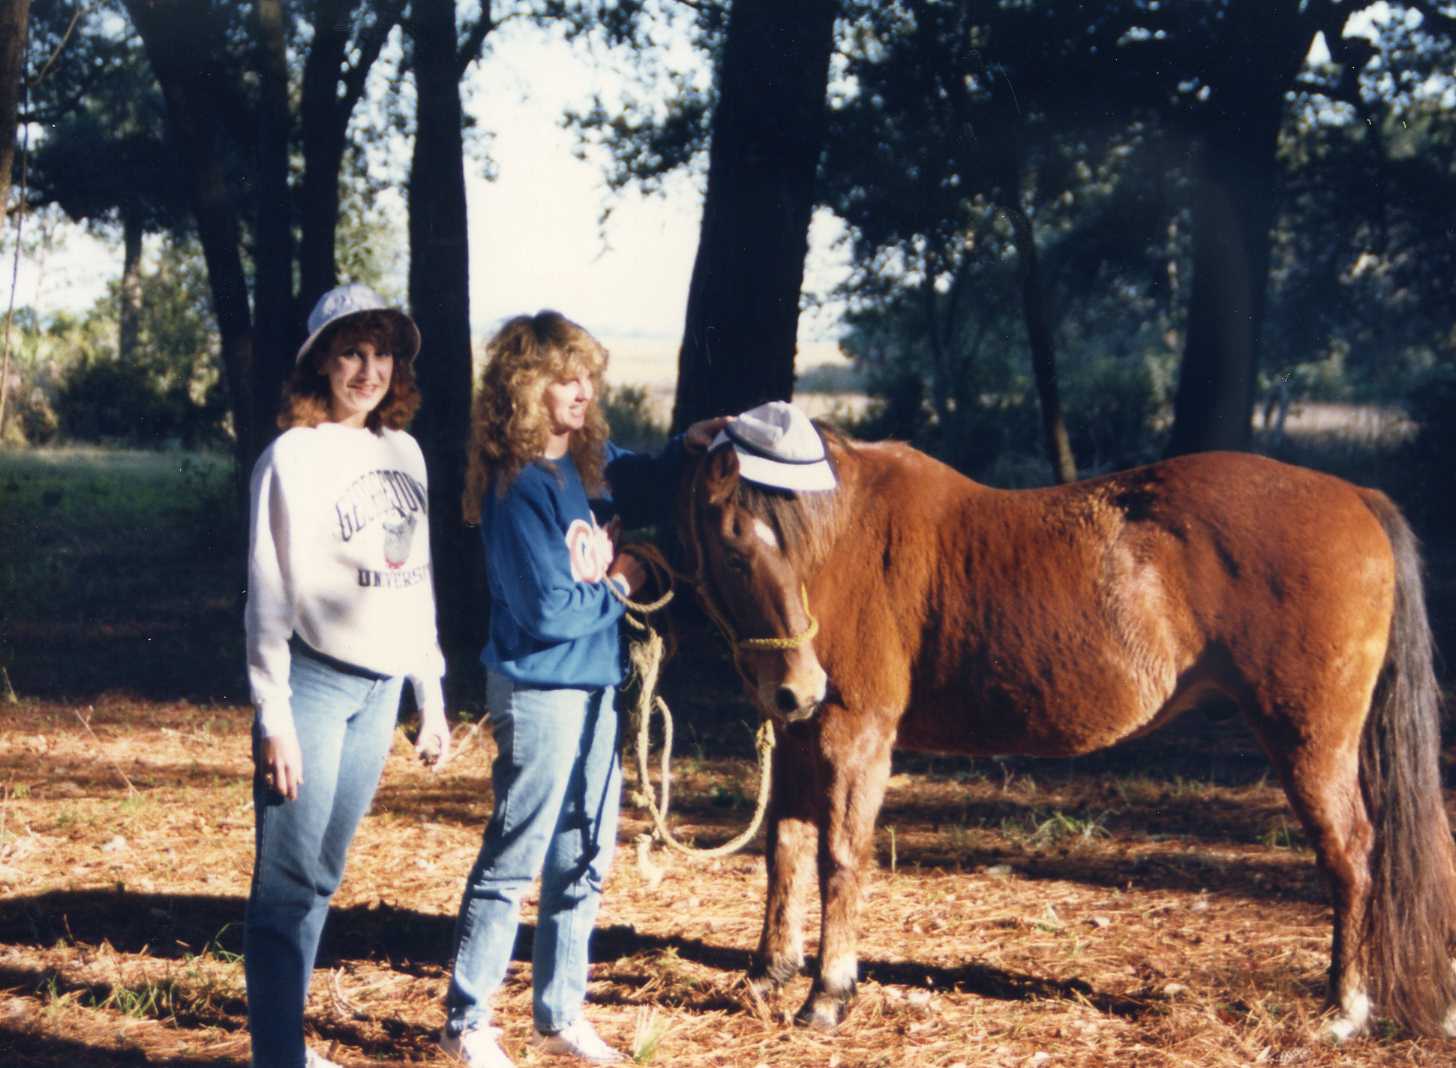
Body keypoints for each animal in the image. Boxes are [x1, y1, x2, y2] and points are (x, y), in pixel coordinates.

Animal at [678, 430, 1456, 1041]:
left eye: (775, 547)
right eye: (734, 552)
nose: (801, 685)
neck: (848, 545)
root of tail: (1354, 496)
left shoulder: (854, 735)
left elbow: (840, 856)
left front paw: (828, 995)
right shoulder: (798, 737)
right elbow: (785, 850)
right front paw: (768, 974)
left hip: (1310, 741)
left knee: (1351, 857)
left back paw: (1346, 1010)